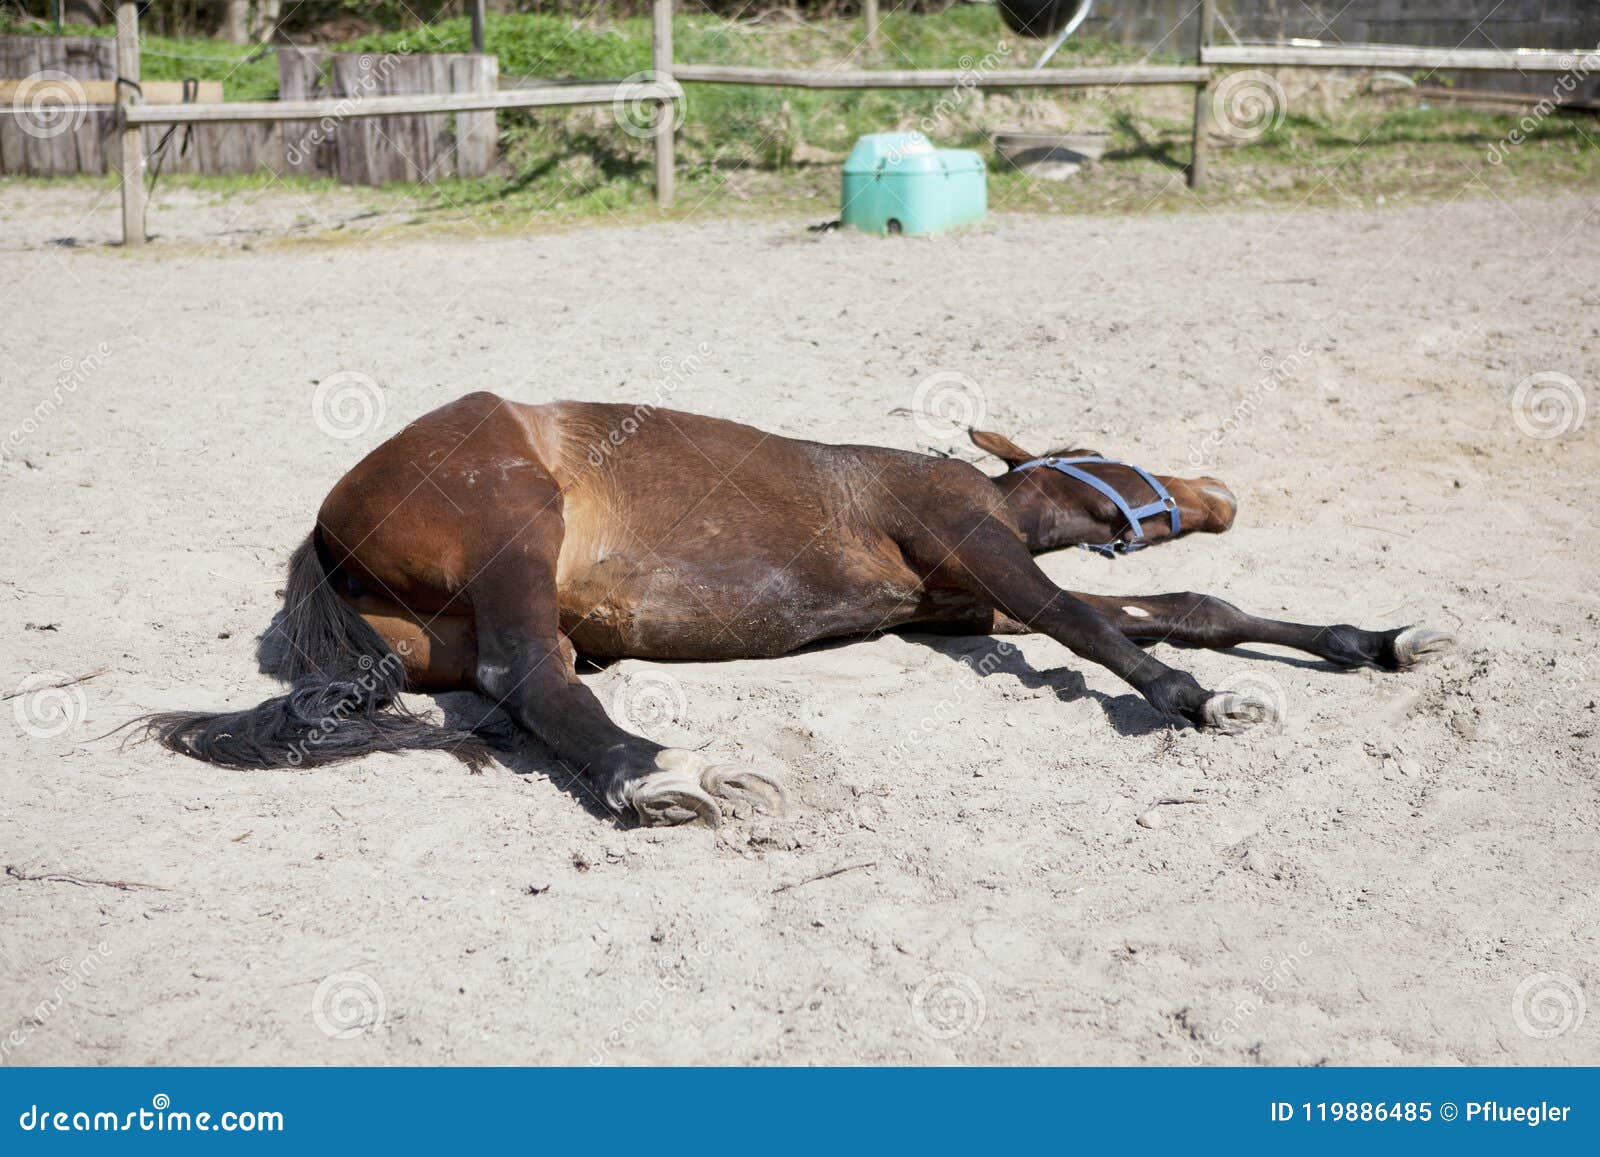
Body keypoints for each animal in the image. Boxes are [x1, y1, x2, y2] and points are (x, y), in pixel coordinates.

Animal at [146, 392, 1454, 826]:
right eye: (1099, 451)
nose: (1218, 493)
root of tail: (329, 523)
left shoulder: (966, 610)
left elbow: (1182, 601)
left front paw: (1380, 640)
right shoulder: (976, 546)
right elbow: (1092, 626)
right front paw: (1195, 702)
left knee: (519, 681)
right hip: (515, 530)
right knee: (529, 678)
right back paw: (655, 775)